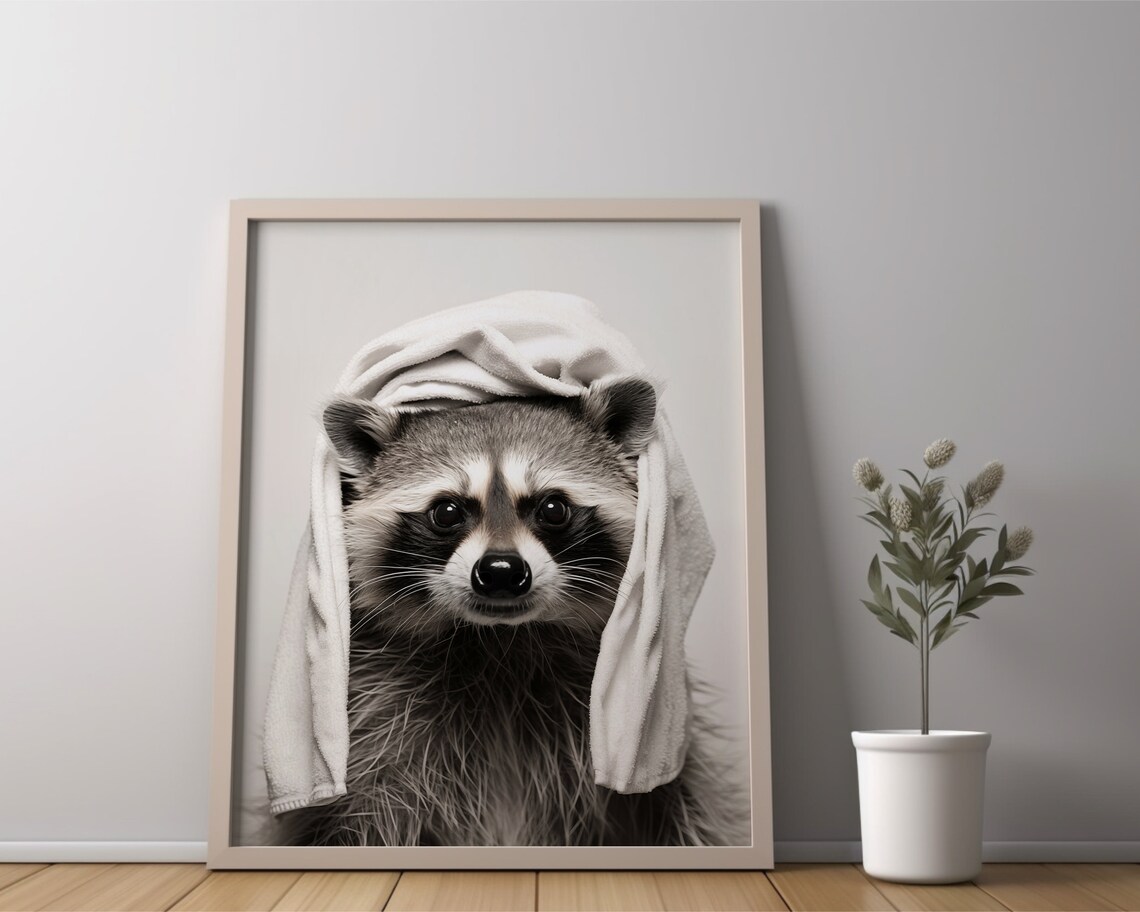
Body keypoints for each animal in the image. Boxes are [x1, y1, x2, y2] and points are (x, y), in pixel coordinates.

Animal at [275, 376, 744, 847]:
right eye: (446, 512)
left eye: (553, 508)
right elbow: (347, 823)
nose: (501, 571)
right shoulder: (376, 723)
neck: (502, 638)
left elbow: (676, 815)